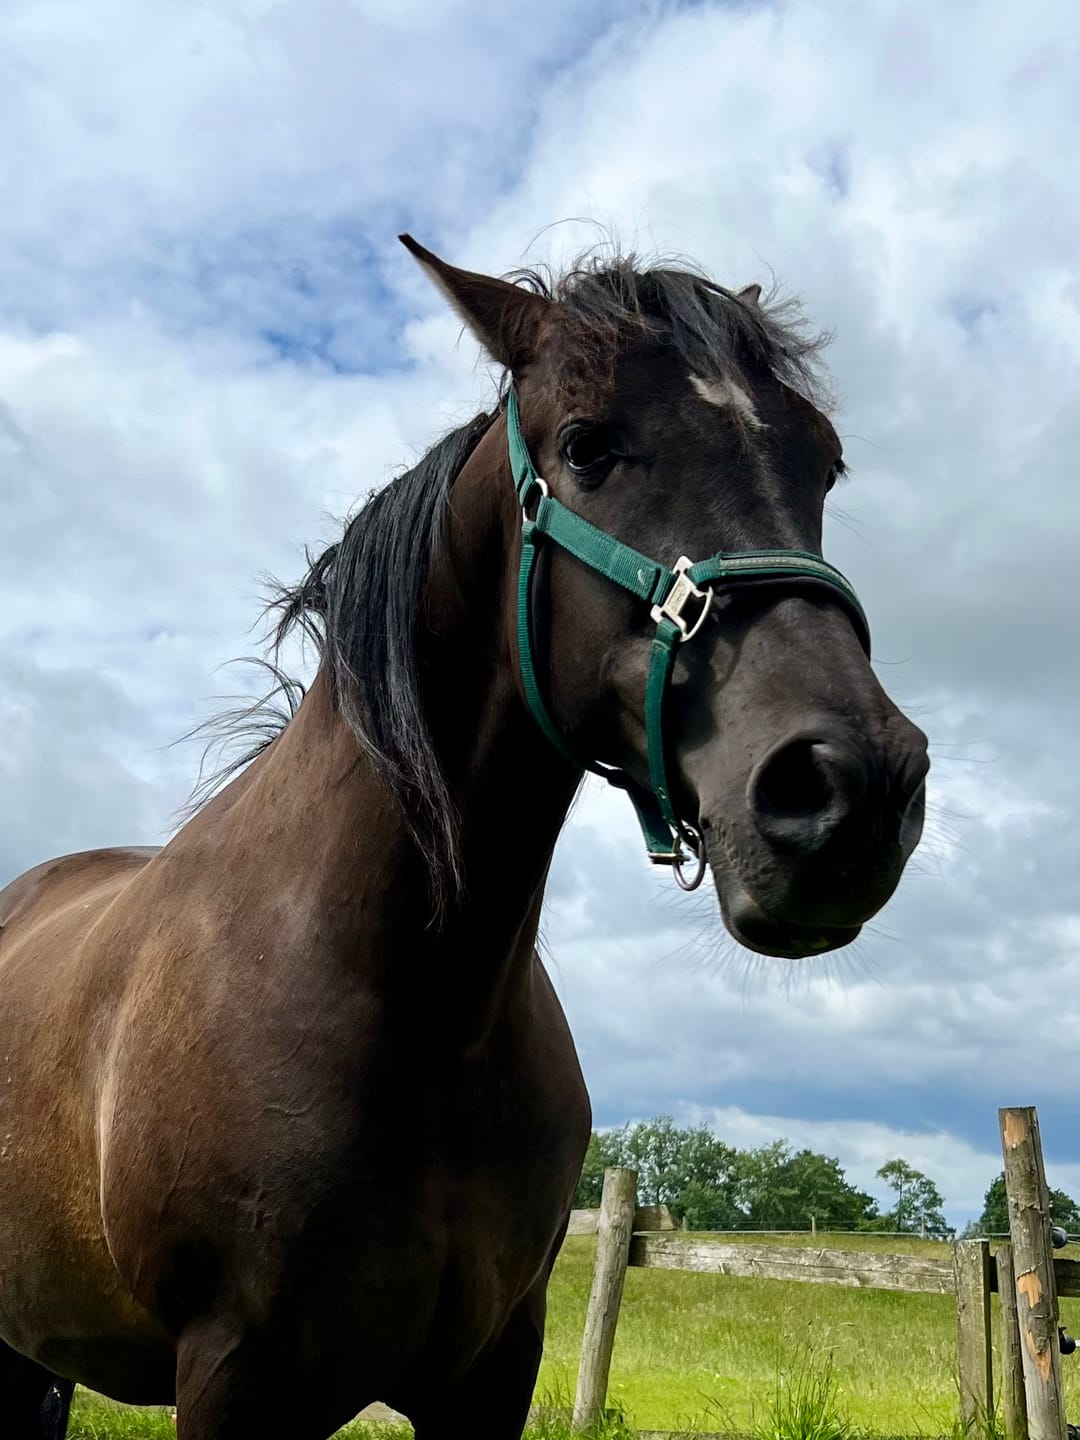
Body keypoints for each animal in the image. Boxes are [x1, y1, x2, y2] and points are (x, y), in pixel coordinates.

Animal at [0, 234, 928, 1439]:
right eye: (588, 445)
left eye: (823, 464)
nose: (853, 789)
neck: (420, 1004)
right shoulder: (232, 1380)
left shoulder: (492, 1373)